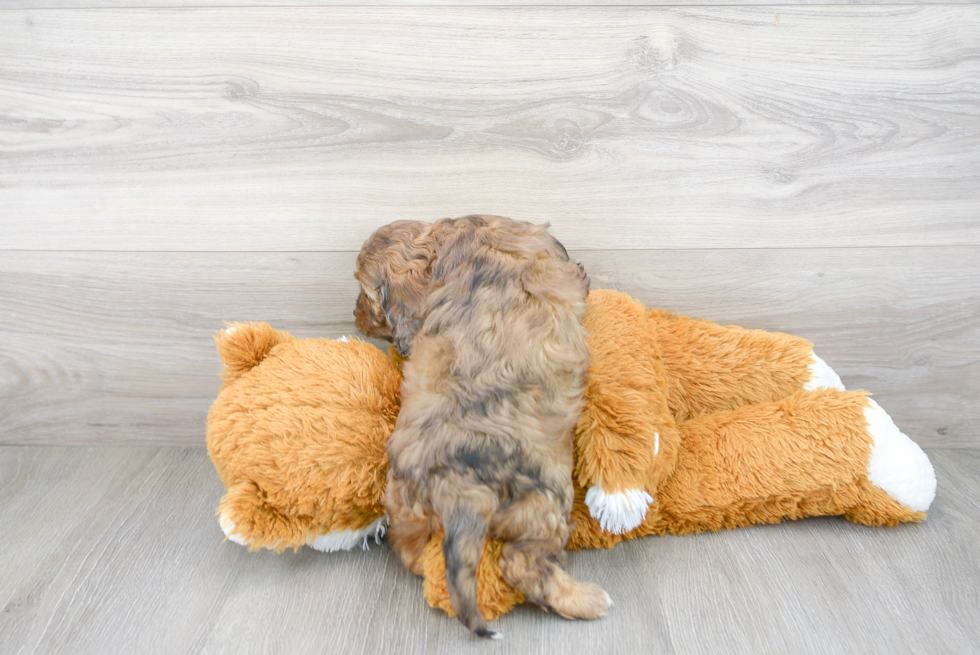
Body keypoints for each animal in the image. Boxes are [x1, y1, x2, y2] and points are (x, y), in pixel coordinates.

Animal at [356, 217, 608, 640]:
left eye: (364, 294)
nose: (353, 315)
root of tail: (458, 490)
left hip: (404, 503)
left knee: (411, 552)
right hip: (545, 502)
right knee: (521, 563)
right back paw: (586, 600)